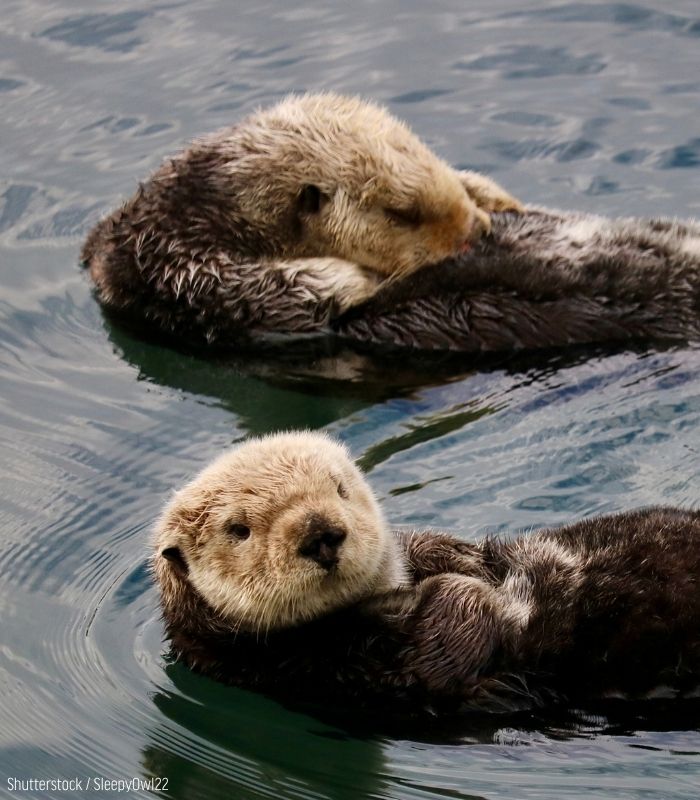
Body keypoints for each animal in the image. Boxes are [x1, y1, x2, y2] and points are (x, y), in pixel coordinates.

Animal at [82, 93, 521, 342]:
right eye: (401, 214)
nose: (475, 231)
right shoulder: (175, 266)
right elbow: (270, 293)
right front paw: (360, 280)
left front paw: (492, 196)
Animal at [153, 431, 700, 716]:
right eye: (238, 529)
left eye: (339, 488)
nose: (322, 533)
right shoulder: (331, 672)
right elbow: (443, 648)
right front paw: (462, 587)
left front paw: (462, 559)